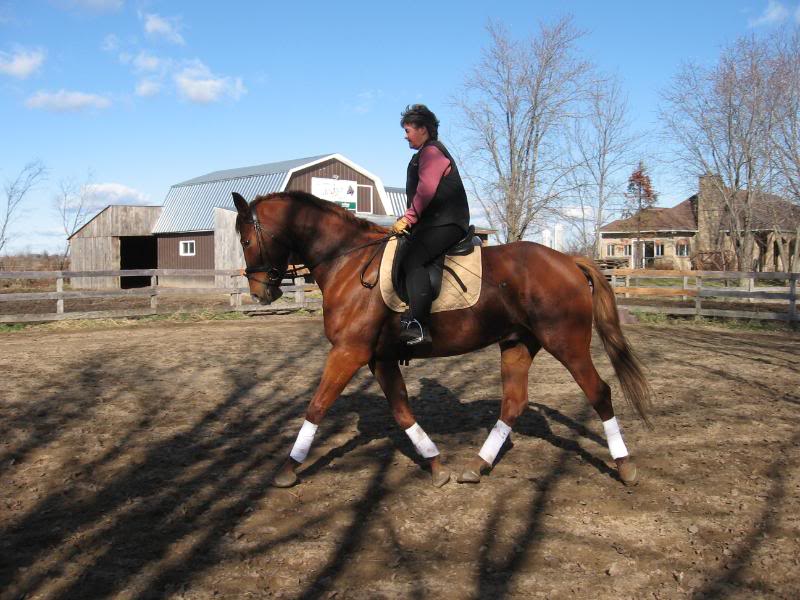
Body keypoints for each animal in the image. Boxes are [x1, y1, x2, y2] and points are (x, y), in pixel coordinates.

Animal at [231, 191, 648, 488]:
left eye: (247, 240)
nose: (259, 293)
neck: (348, 262)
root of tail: (568, 261)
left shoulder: (348, 352)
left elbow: (316, 406)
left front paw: (288, 467)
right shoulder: (379, 358)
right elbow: (402, 411)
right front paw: (435, 464)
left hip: (566, 343)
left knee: (599, 393)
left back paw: (626, 467)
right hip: (517, 344)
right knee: (514, 403)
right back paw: (477, 466)